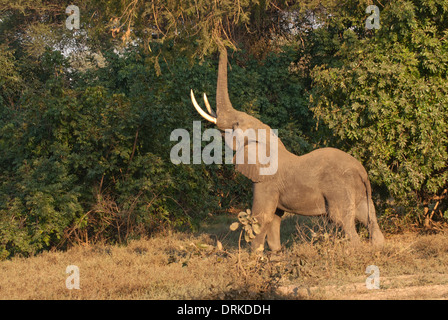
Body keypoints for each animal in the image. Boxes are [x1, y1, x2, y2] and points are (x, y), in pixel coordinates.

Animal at [190, 48, 384, 252]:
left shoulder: (266, 181)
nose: (222, 46)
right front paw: (275, 253)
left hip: (339, 189)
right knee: (368, 217)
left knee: (343, 221)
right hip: (359, 191)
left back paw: (355, 250)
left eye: (236, 124)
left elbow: (262, 217)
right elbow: (275, 217)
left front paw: (253, 255)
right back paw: (378, 247)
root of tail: (361, 171)